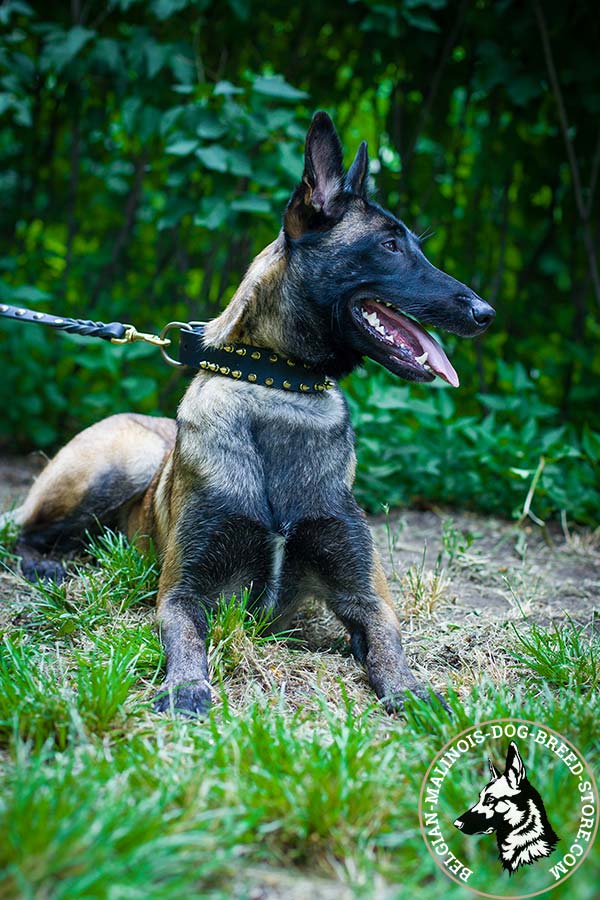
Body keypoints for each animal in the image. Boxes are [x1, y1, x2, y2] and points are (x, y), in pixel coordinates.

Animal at [9, 112, 494, 716]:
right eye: (388, 245)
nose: (486, 313)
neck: (281, 387)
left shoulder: (364, 593)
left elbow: (388, 643)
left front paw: (411, 691)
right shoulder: (183, 591)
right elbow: (187, 637)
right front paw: (186, 686)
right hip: (113, 466)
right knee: (24, 530)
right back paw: (46, 564)